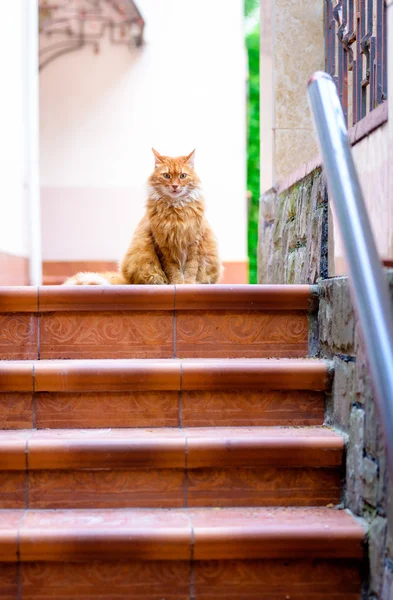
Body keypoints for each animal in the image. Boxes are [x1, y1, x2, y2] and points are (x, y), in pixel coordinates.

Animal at [66, 151, 222, 288]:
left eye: (182, 176)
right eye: (167, 175)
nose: (175, 186)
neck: (175, 211)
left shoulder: (194, 243)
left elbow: (191, 269)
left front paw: (188, 285)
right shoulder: (163, 245)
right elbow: (173, 271)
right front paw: (177, 283)